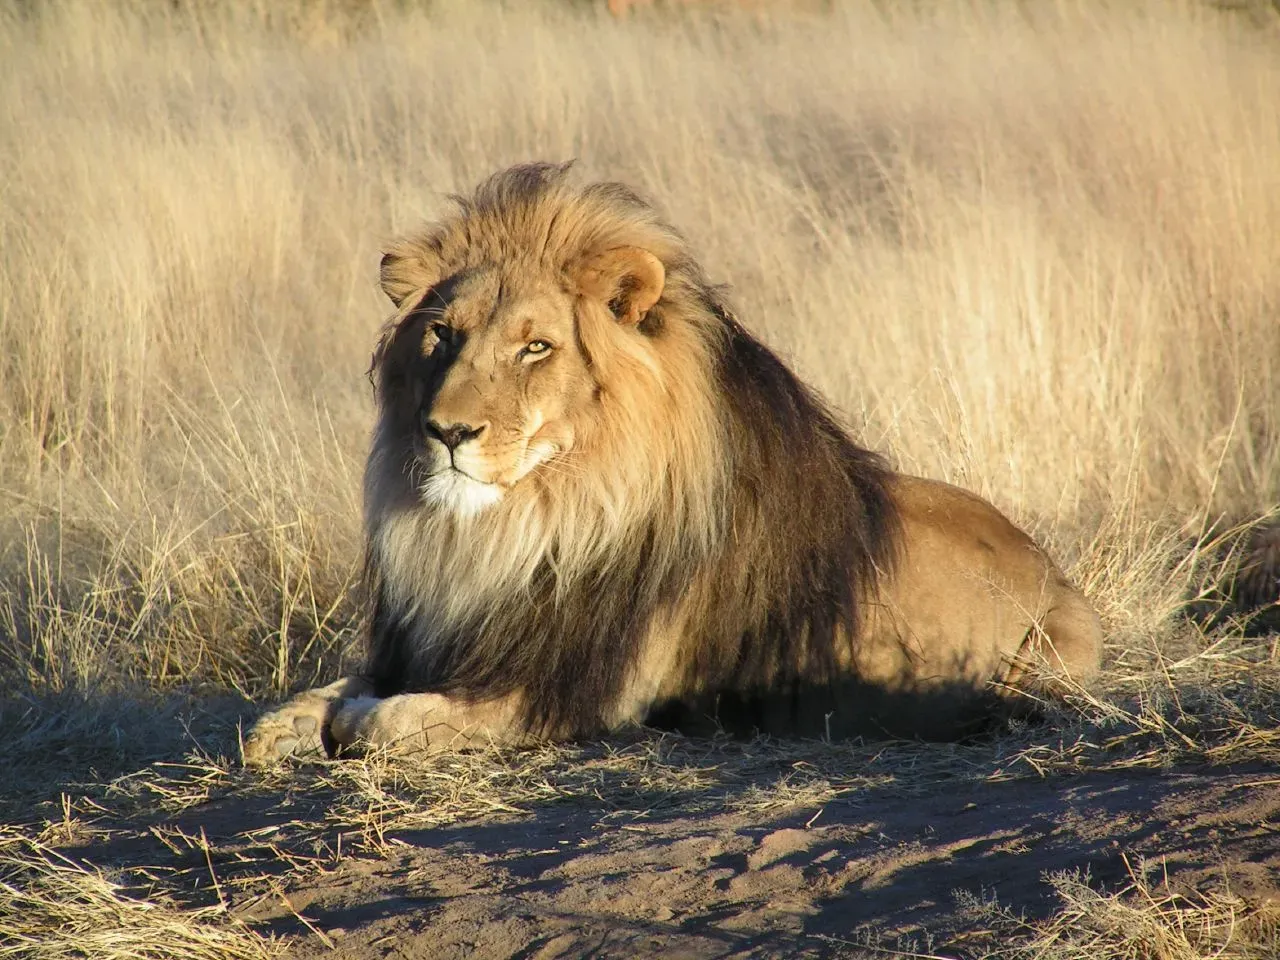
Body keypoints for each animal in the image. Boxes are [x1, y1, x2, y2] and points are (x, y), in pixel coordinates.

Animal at [242, 162, 1102, 766]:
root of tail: (1052, 566)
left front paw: (354, 721)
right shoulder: (438, 642)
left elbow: (387, 720)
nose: (447, 431)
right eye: (442, 335)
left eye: (536, 346)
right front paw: (286, 725)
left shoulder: (575, 695)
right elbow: (315, 700)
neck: (521, 526)